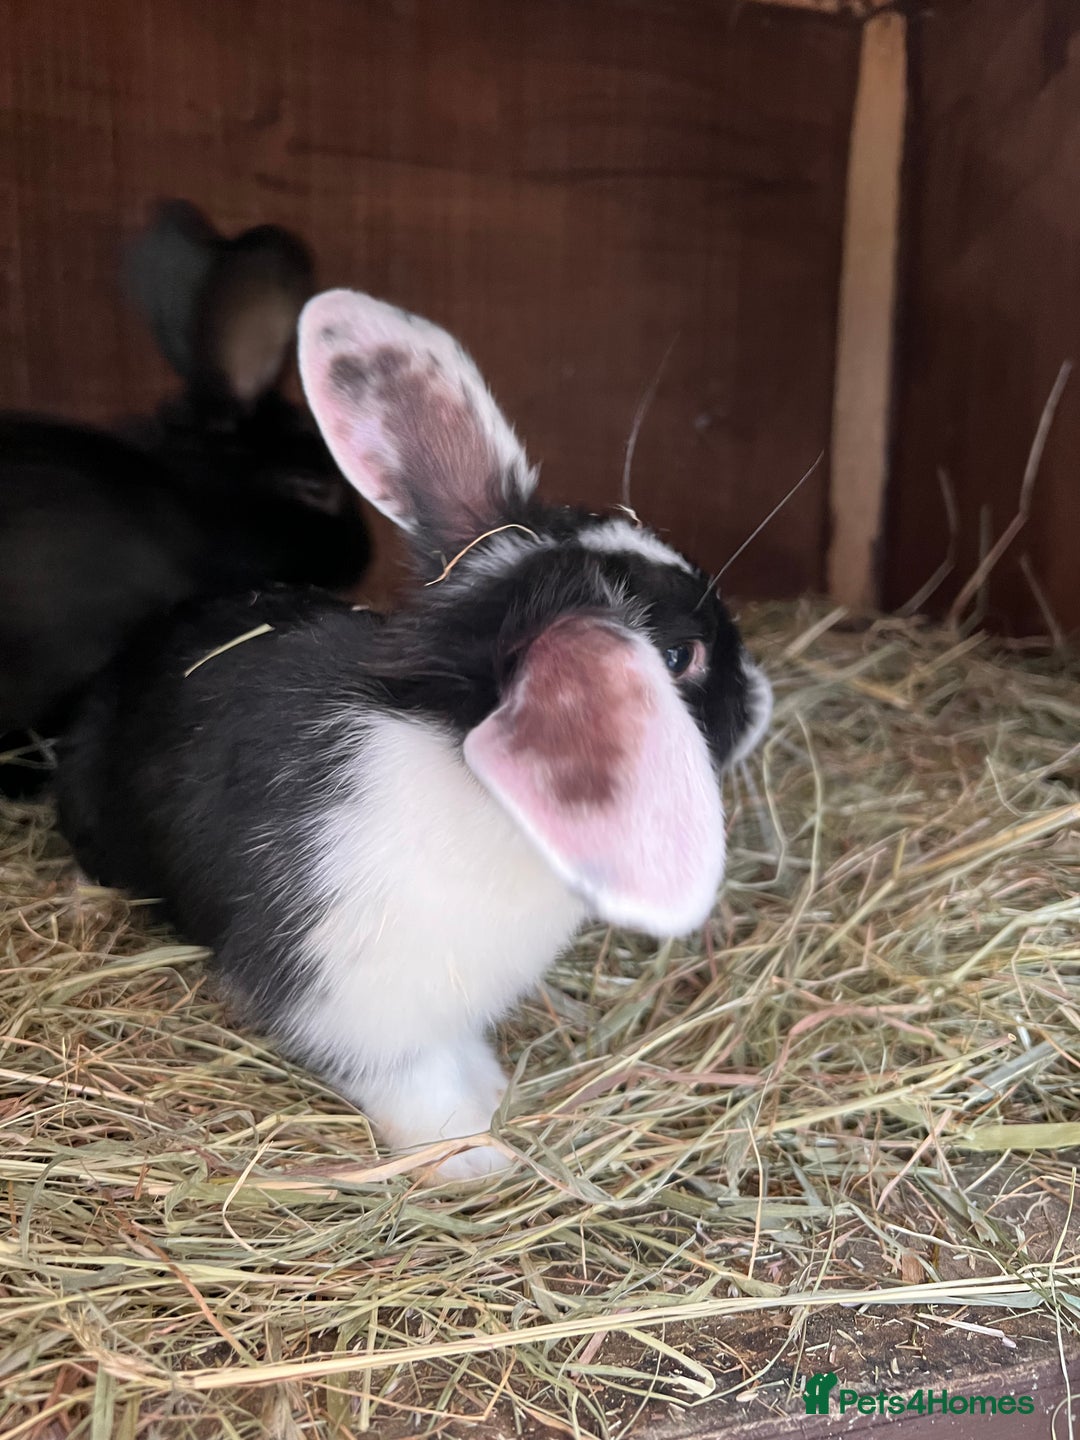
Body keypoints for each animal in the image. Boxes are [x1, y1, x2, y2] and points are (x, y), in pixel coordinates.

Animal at [56, 288, 773, 1181]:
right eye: (681, 657)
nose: (761, 696)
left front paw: (492, 1089)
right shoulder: (359, 1012)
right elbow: (419, 1091)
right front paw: (475, 1157)